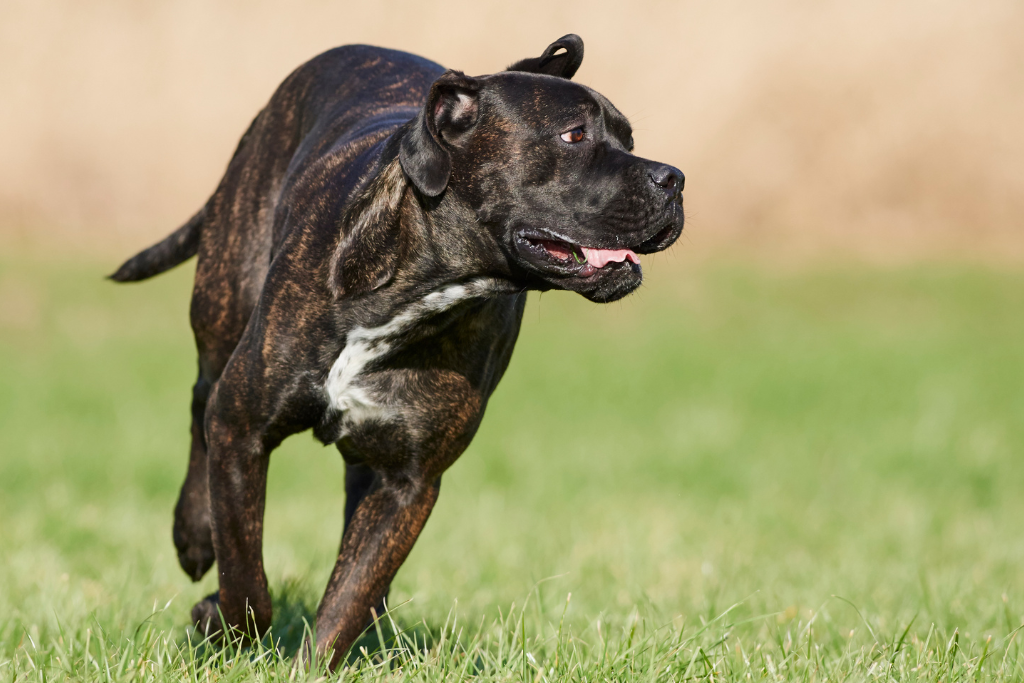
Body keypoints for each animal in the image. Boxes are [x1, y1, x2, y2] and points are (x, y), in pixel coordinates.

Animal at [112, 36, 684, 667]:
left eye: (628, 139)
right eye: (574, 135)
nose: (675, 179)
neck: (421, 285)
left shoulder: (407, 481)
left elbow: (347, 597)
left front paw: (315, 659)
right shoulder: (243, 429)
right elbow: (246, 575)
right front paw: (221, 620)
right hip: (223, 306)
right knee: (200, 400)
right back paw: (193, 534)